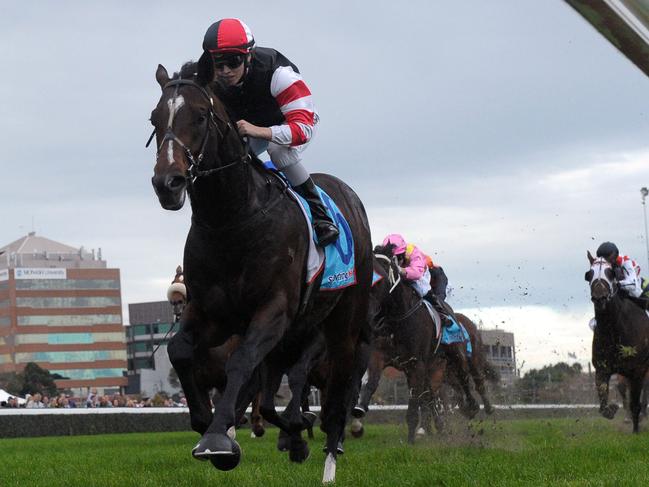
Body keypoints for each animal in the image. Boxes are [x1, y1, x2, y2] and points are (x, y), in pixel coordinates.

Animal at [147, 54, 370, 484]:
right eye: (154, 118)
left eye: (200, 116)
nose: (168, 182)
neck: (232, 219)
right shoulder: (211, 312)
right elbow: (182, 351)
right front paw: (211, 427)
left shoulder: (273, 309)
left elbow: (242, 362)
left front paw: (218, 439)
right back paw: (297, 434)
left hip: (345, 323)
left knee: (339, 391)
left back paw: (330, 459)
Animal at [584, 254, 648, 432]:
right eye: (589, 275)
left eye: (610, 273)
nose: (599, 298)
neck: (614, 330)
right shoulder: (602, 368)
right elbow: (604, 406)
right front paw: (612, 408)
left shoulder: (638, 370)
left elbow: (635, 405)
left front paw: (636, 431)